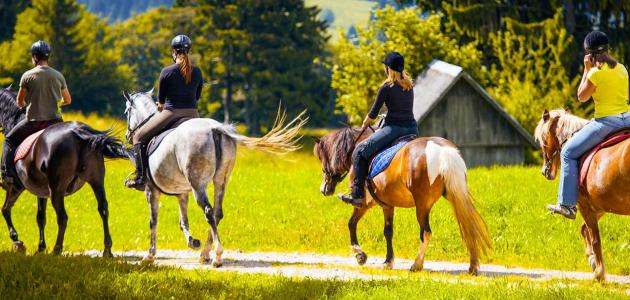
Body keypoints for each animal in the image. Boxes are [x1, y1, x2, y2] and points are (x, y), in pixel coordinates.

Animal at [0, 86, 130, 255]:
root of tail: (79, 132)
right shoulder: (41, 191)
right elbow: (40, 217)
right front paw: (40, 247)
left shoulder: (16, 187)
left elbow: (6, 209)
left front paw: (18, 241)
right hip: (96, 180)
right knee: (103, 209)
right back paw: (107, 250)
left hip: (57, 188)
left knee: (62, 217)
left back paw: (57, 249)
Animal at [123, 90, 306, 266]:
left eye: (127, 111)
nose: (128, 136)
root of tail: (216, 128)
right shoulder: (182, 192)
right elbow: (183, 221)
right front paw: (192, 242)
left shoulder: (151, 190)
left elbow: (153, 222)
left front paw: (149, 256)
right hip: (221, 181)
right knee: (217, 213)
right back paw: (205, 253)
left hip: (198, 185)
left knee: (209, 212)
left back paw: (217, 256)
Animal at [316, 127, 494, 274]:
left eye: (322, 158)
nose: (323, 189)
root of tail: (441, 150)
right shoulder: (387, 205)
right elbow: (388, 232)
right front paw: (388, 261)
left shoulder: (364, 204)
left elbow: (351, 224)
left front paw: (360, 255)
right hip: (455, 196)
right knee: (469, 226)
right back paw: (472, 266)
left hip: (422, 205)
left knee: (426, 232)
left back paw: (417, 264)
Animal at [536, 108, 630, 282]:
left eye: (542, 140)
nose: (545, 171)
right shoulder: (599, 207)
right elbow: (584, 229)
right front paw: (592, 260)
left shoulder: (584, 205)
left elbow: (595, 239)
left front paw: (599, 272)